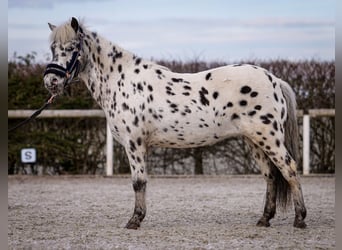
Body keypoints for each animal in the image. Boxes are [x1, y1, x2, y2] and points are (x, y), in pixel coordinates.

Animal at [43, 17, 308, 229]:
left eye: (71, 48)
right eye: (53, 49)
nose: (51, 81)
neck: (122, 81)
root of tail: (274, 80)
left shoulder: (134, 143)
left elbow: (138, 182)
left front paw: (134, 220)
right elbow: (141, 183)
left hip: (269, 138)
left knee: (289, 169)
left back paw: (300, 219)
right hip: (255, 141)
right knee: (271, 176)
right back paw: (264, 219)